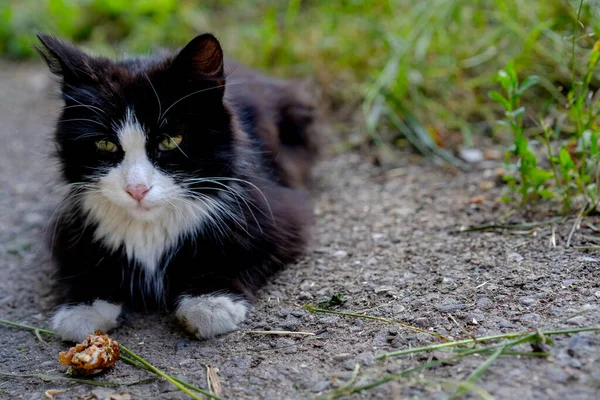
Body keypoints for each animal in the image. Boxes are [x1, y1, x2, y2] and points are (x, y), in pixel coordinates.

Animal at [34, 32, 324, 342]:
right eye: (105, 144)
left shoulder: (276, 211)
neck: (148, 229)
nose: (137, 189)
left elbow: (245, 251)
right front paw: (83, 307)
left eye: (170, 141)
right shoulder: (69, 224)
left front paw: (209, 302)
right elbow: (79, 261)